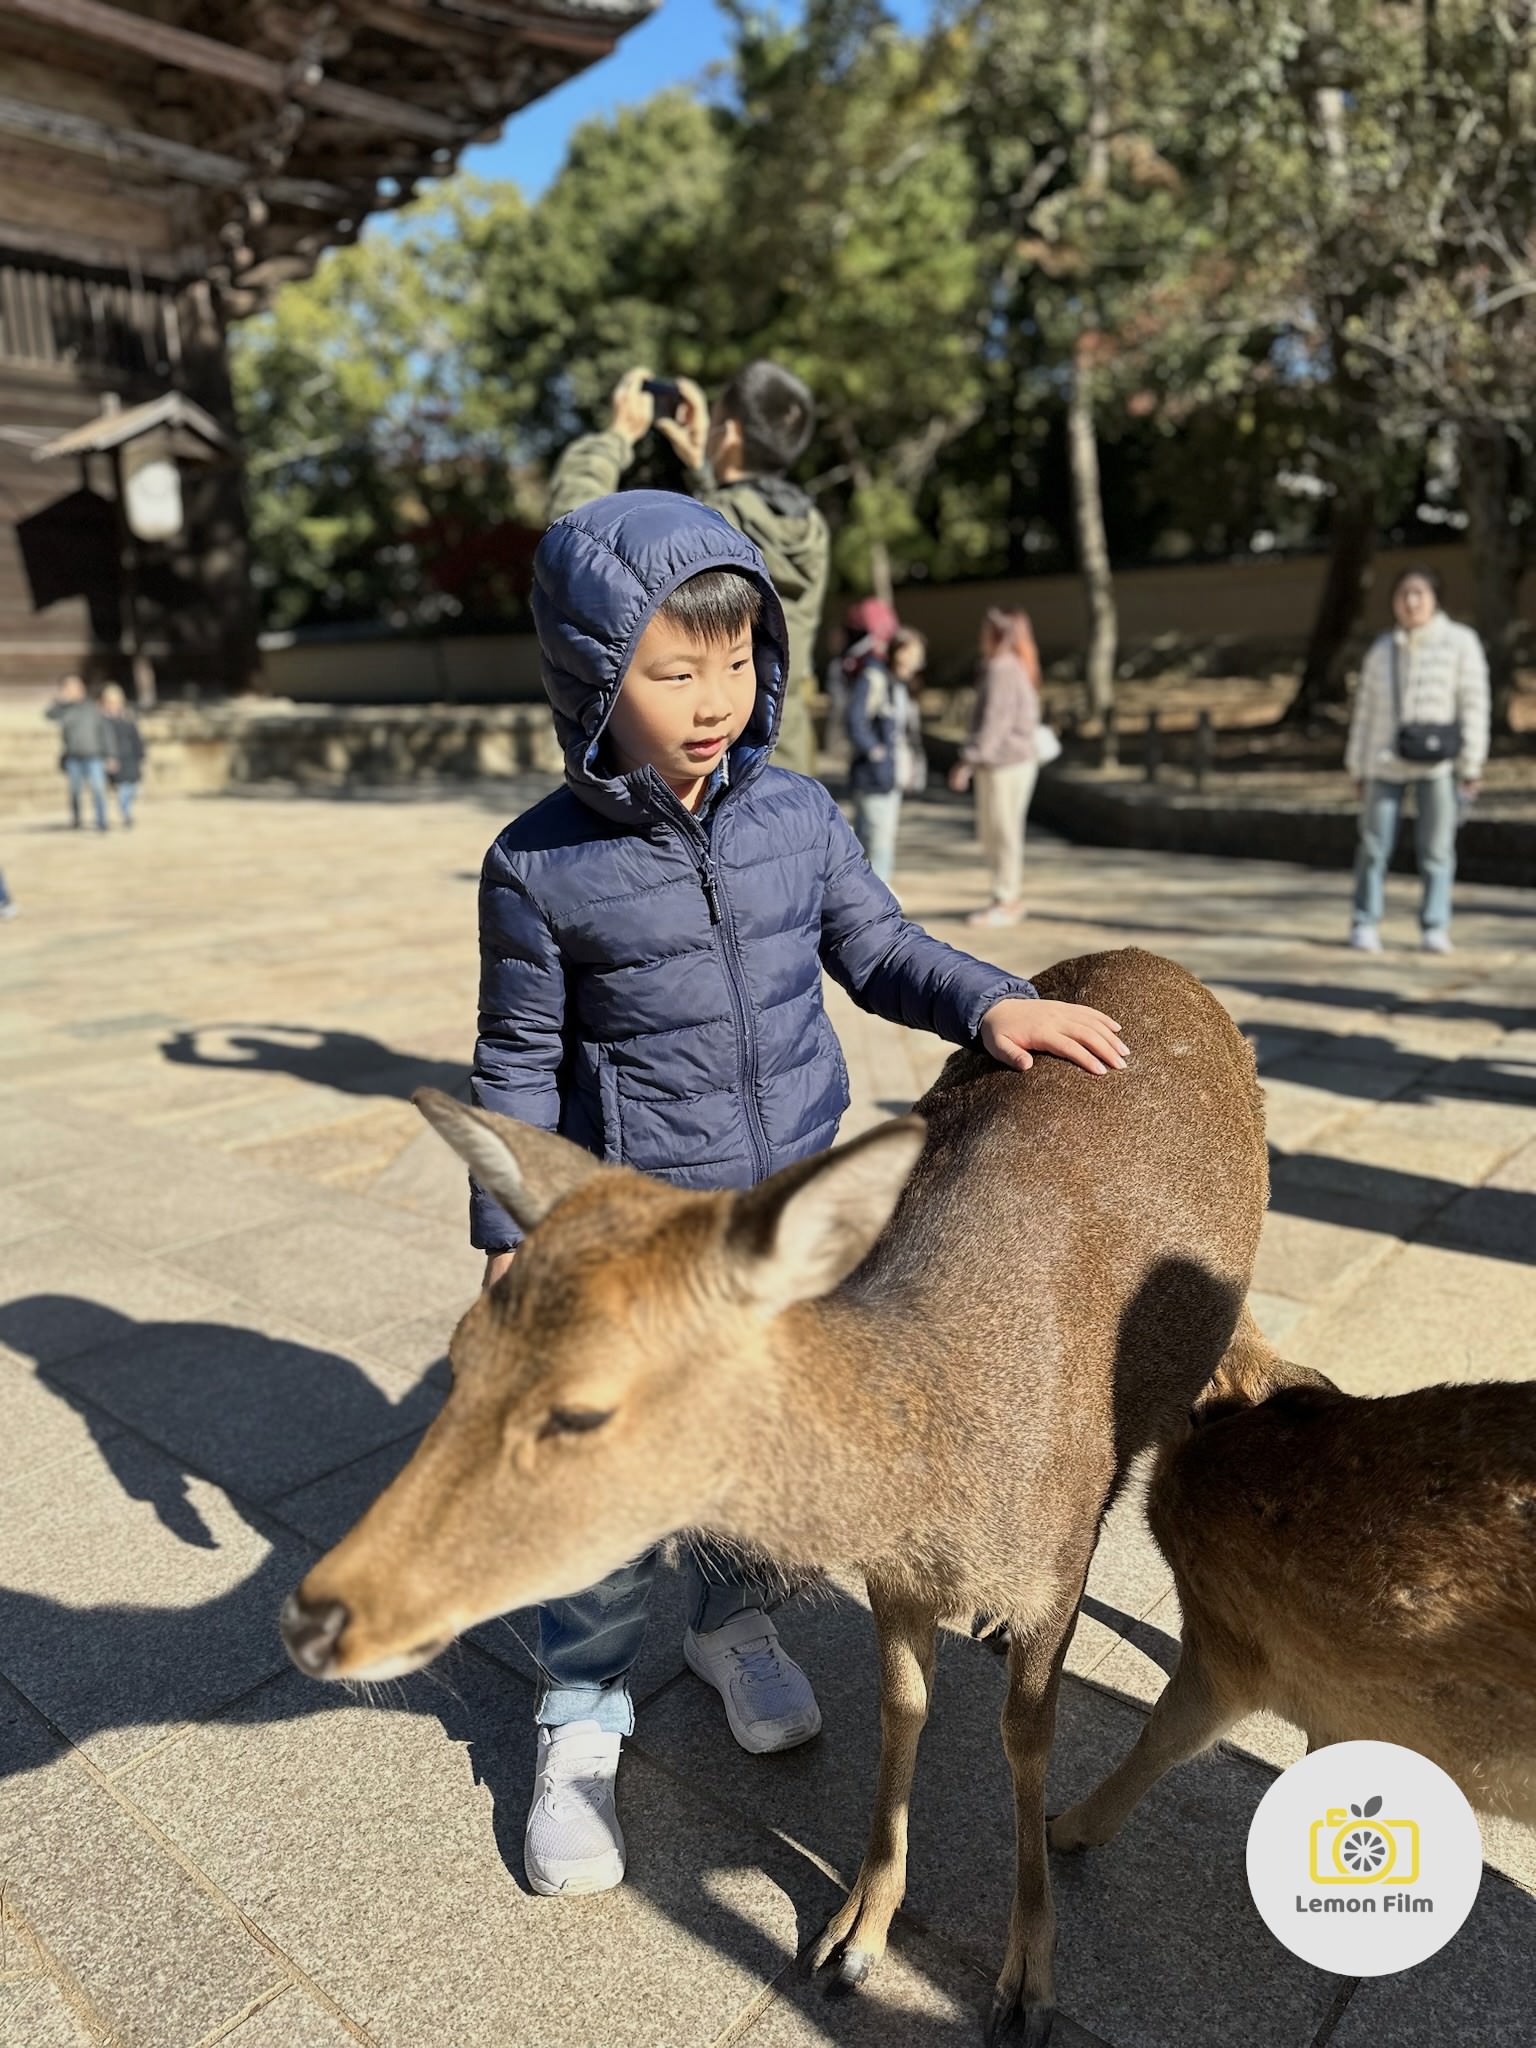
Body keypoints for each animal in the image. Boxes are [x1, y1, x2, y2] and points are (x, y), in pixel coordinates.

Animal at [282, 946, 1269, 2048]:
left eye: (583, 1408)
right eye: (459, 1355)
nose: (318, 1616)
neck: (940, 1487)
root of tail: (1160, 961)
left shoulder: (1049, 1566)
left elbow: (1030, 1738)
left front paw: (1026, 1985)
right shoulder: (892, 1578)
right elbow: (901, 1706)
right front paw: (853, 1935)